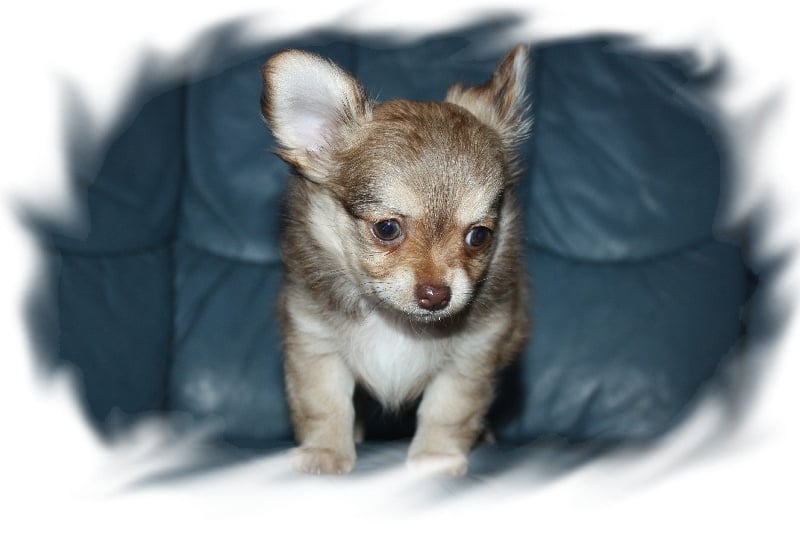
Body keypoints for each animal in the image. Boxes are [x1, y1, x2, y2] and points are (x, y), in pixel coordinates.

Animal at [260, 42, 532, 474]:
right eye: (387, 229)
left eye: (479, 236)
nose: (436, 295)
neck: (396, 321)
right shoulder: (314, 345)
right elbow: (326, 405)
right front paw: (326, 452)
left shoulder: (472, 358)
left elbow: (447, 411)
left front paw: (435, 458)